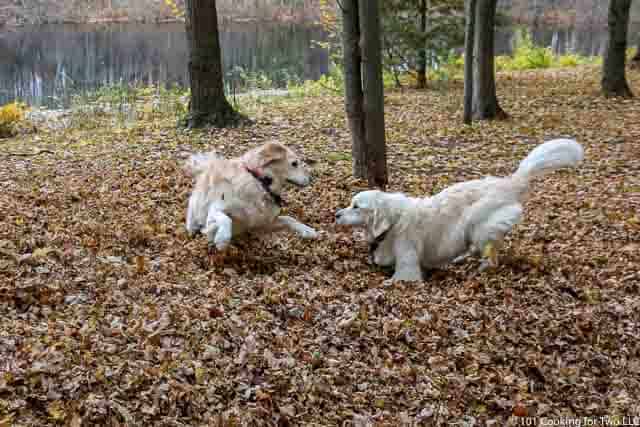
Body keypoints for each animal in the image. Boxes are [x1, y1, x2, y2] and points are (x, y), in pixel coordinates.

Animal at [185, 144, 318, 251]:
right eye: (294, 163)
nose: (311, 179)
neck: (260, 183)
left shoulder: (262, 222)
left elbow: (289, 219)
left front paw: (308, 231)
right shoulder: (216, 207)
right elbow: (225, 219)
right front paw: (221, 239)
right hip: (197, 204)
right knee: (192, 212)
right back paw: (193, 228)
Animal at [336, 139, 584, 282]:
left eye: (356, 207)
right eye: (350, 203)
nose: (336, 215)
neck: (392, 222)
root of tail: (510, 183)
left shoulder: (408, 267)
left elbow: (398, 279)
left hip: (478, 225)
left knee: (490, 255)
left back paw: (480, 268)